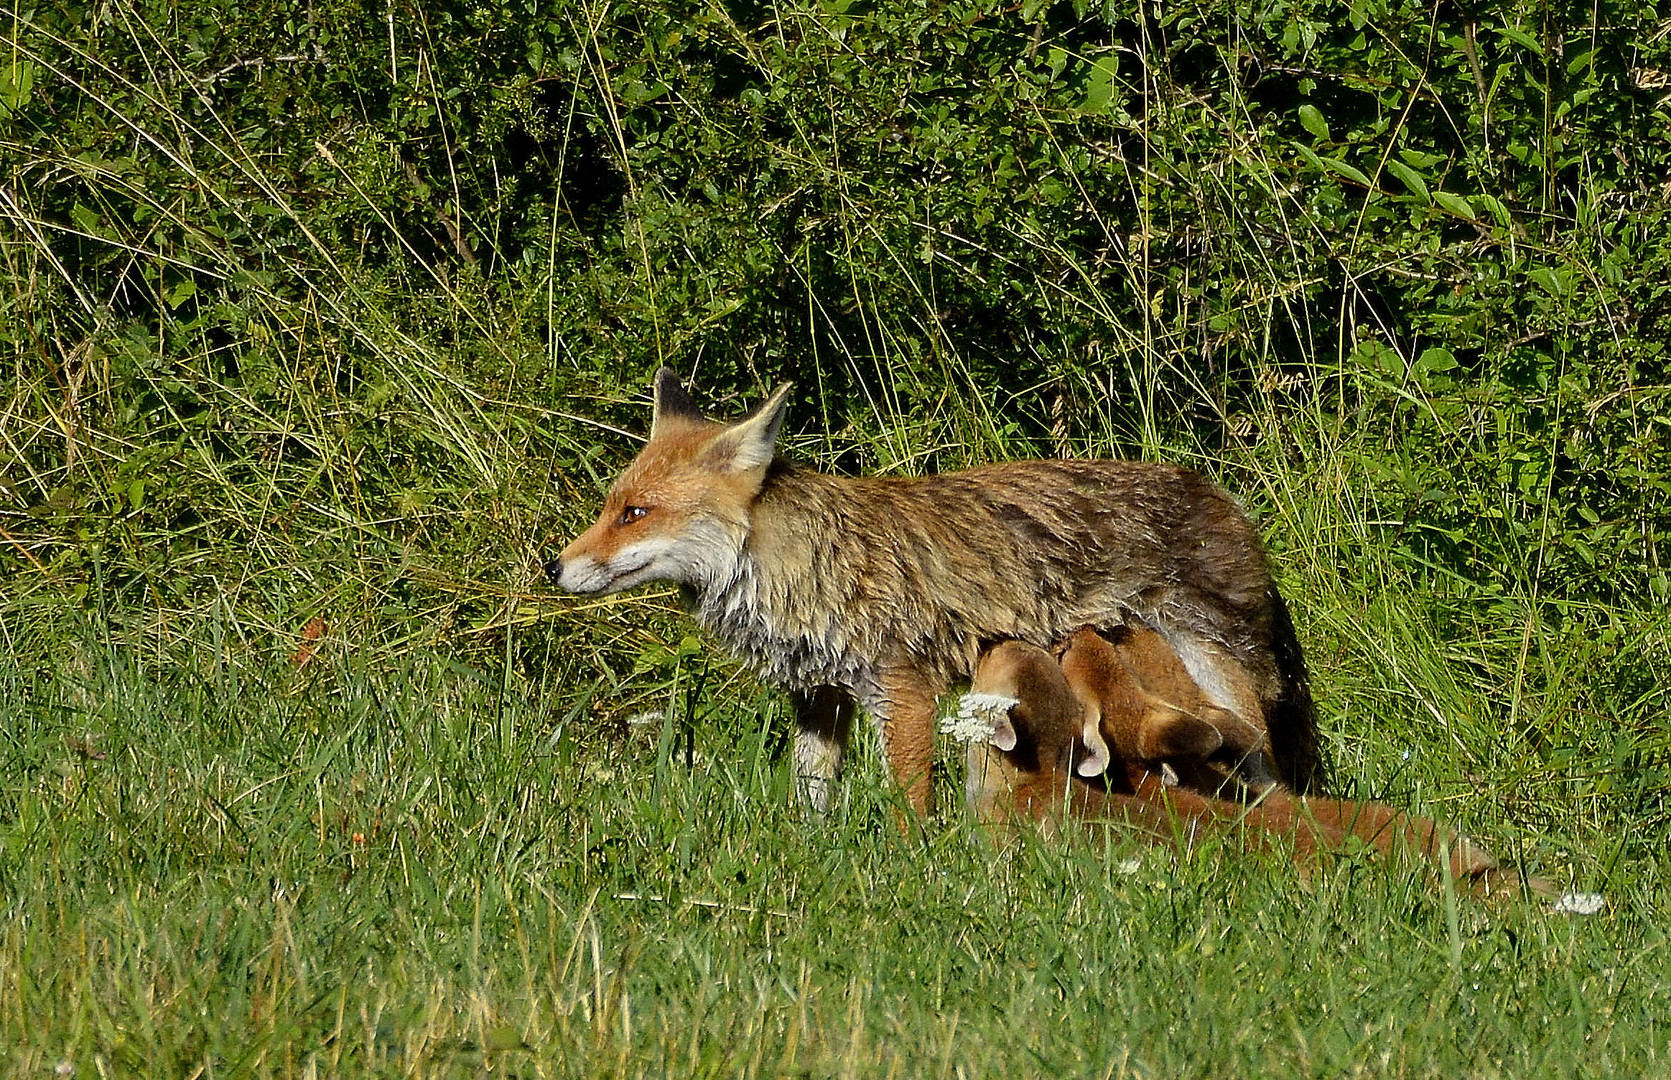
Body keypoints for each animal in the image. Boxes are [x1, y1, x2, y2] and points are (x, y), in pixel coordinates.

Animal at [548, 369, 1316, 812]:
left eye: (634, 514)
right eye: (610, 506)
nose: (555, 568)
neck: (799, 568)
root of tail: (1222, 496)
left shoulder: (903, 691)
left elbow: (909, 809)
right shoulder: (819, 699)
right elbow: (811, 804)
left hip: (1221, 681)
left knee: (1268, 766)